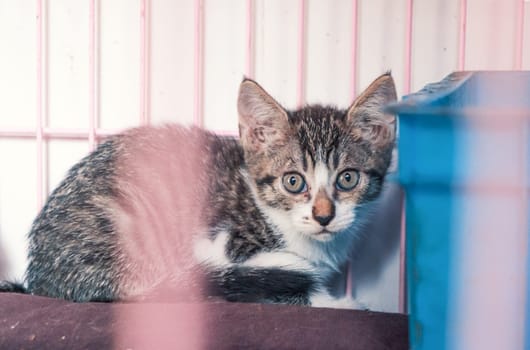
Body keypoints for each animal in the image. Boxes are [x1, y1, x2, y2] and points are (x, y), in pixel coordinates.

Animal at [1, 73, 396, 306]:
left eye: (348, 178)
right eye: (293, 181)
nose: (324, 216)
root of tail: (42, 280)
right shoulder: (217, 245)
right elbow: (268, 283)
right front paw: (339, 301)